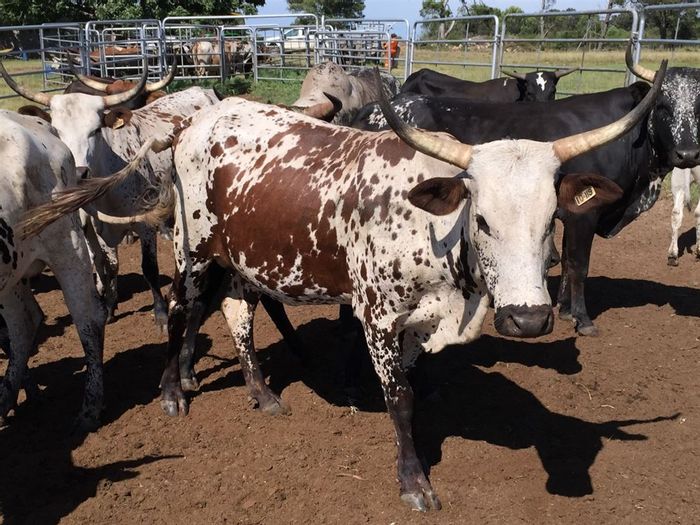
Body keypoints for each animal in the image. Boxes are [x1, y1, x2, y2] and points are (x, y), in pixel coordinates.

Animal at [22, 64, 663, 510]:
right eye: (482, 218)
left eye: (551, 218)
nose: (528, 319)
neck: (433, 228)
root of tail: (193, 123)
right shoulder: (377, 317)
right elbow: (399, 399)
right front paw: (413, 481)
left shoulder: (418, 322)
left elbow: (414, 383)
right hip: (193, 247)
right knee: (183, 310)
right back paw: (173, 393)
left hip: (241, 260)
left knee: (237, 314)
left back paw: (262, 393)